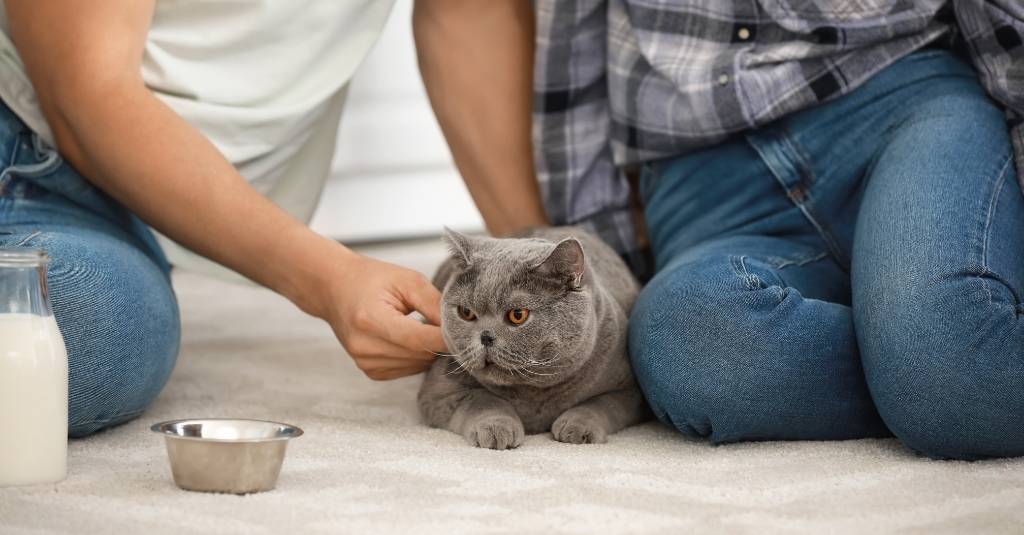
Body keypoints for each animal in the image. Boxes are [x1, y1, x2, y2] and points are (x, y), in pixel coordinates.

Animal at [417, 224, 647, 444]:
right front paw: (496, 428)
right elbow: (483, 400)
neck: (532, 394)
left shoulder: (630, 391)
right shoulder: (440, 392)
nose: (485, 336)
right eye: (466, 312)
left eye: (517, 315)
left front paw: (578, 426)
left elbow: (600, 404)